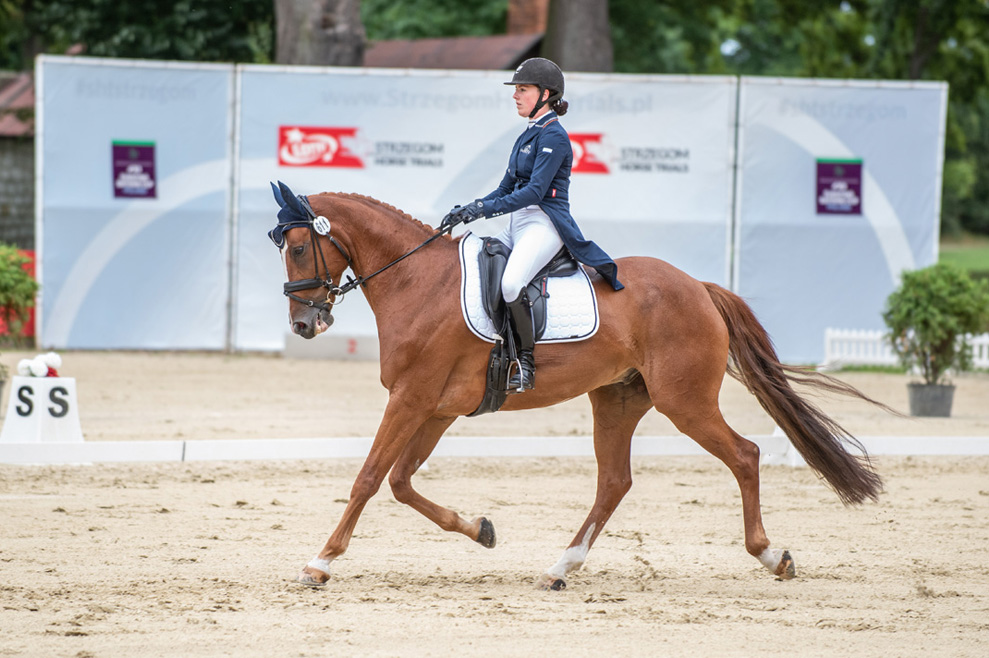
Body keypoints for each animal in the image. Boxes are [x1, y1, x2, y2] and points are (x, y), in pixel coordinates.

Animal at [270, 184, 887, 590]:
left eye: (298, 247)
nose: (303, 325)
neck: (417, 281)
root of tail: (698, 286)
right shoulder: (435, 408)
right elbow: (400, 482)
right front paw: (481, 530)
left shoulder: (411, 399)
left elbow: (369, 478)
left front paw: (320, 563)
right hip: (617, 399)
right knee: (614, 481)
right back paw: (560, 567)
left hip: (683, 402)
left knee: (745, 454)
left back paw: (771, 556)